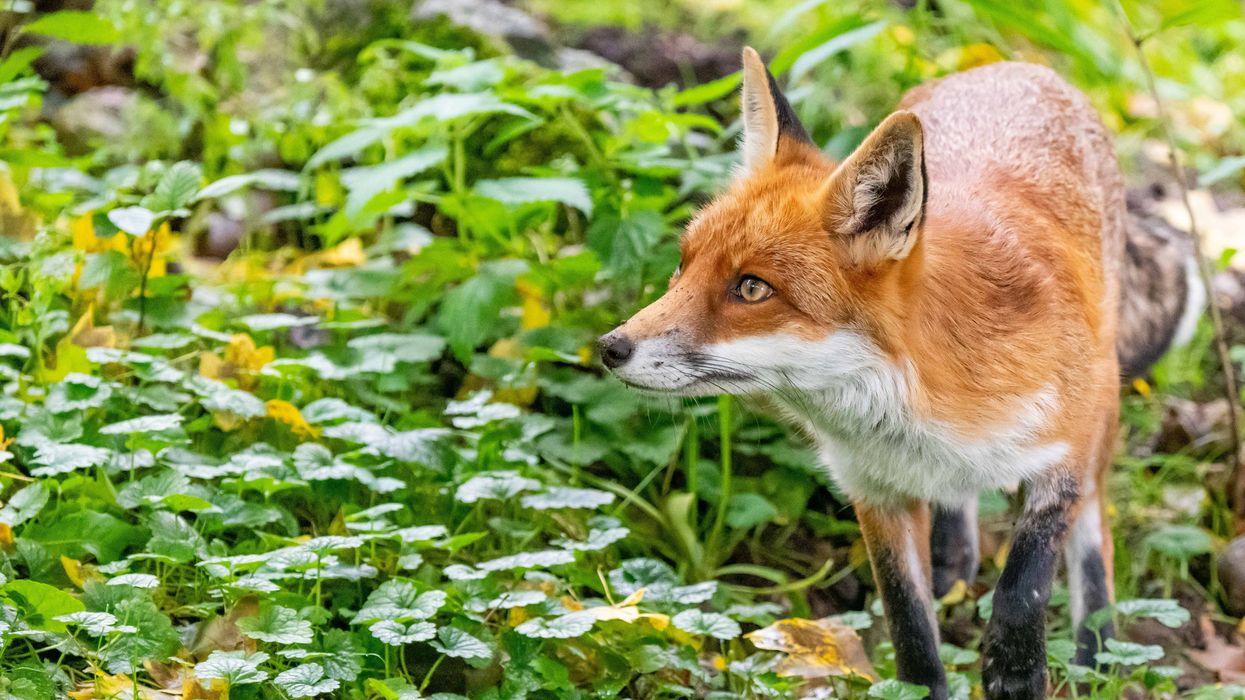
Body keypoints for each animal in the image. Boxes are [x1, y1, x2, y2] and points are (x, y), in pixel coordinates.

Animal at [599, 48, 1203, 699]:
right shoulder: (874, 490)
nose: (610, 347)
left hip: (1103, 415)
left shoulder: (1062, 451)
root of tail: (1014, 65)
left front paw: (1017, 673)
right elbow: (909, 627)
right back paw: (953, 562)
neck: (929, 399)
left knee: (1094, 532)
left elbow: (1023, 589)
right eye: (682, 266)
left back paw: (1096, 655)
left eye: (752, 288)